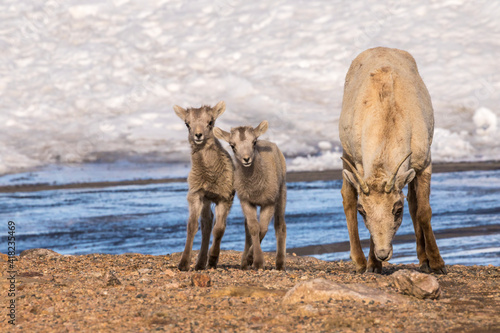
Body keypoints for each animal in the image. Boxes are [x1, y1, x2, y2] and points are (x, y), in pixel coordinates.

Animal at [174, 101, 234, 270]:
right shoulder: (196, 195)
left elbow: (219, 229)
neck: (210, 176)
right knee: (206, 223)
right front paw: (184, 264)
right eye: (187, 123)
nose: (198, 135)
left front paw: (213, 260)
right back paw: (200, 264)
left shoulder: (224, 198)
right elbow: (193, 226)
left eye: (211, 122)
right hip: (206, 200)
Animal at [214, 120, 286, 268]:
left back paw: (280, 264)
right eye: (232, 145)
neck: (255, 188)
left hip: (281, 194)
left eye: (254, 142)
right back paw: (244, 263)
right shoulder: (246, 202)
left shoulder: (268, 203)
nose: (246, 159)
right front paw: (252, 260)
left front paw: (256, 261)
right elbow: (253, 228)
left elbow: (263, 229)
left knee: (280, 225)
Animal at [340, 47, 446, 274]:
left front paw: (437, 264)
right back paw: (359, 262)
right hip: (346, 153)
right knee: (347, 196)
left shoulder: (424, 164)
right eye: (363, 211)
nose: (383, 253)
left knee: (414, 202)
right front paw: (373, 266)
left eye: (398, 209)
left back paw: (423, 261)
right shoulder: (360, 165)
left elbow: (423, 210)